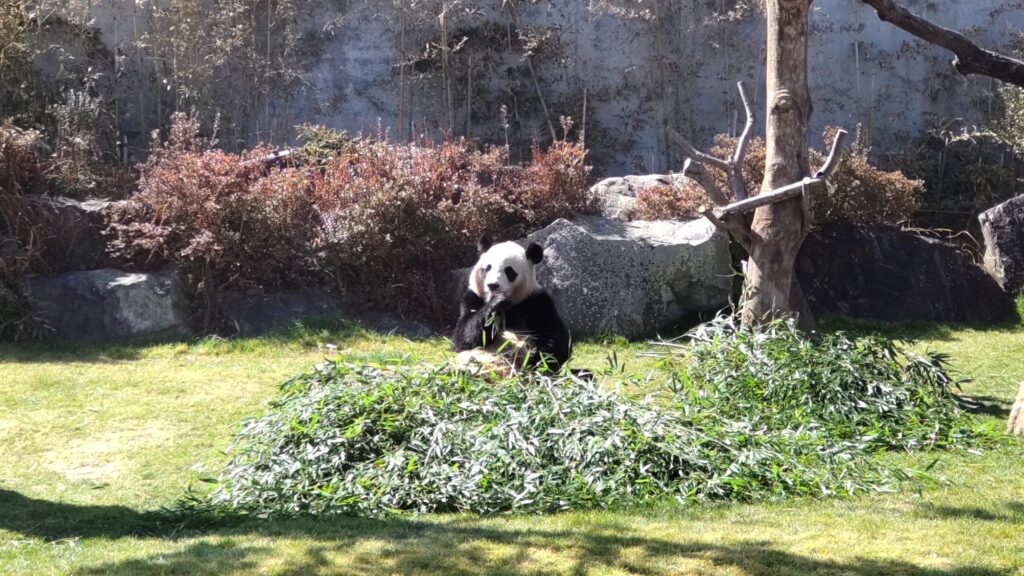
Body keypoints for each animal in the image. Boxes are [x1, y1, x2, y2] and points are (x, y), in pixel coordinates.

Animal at [454, 233, 573, 373]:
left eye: (509, 271)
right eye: (487, 268)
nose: (492, 285)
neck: (509, 306)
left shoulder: (537, 302)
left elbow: (557, 339)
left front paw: (536, 356)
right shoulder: (472, 297)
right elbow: (464, 337)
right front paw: (496, 302)